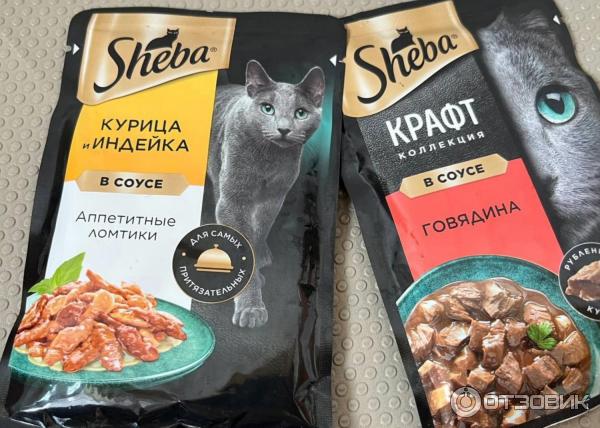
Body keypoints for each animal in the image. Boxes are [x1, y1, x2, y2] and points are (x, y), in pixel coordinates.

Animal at [206, 60, 325, 328]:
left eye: (300, 113)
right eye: (267, 108)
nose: (283, 129)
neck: (269, 160)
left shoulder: (274, 196)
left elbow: (260, 230)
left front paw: (259, 258)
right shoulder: (234, 199)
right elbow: (243, 242)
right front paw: (251, 308)